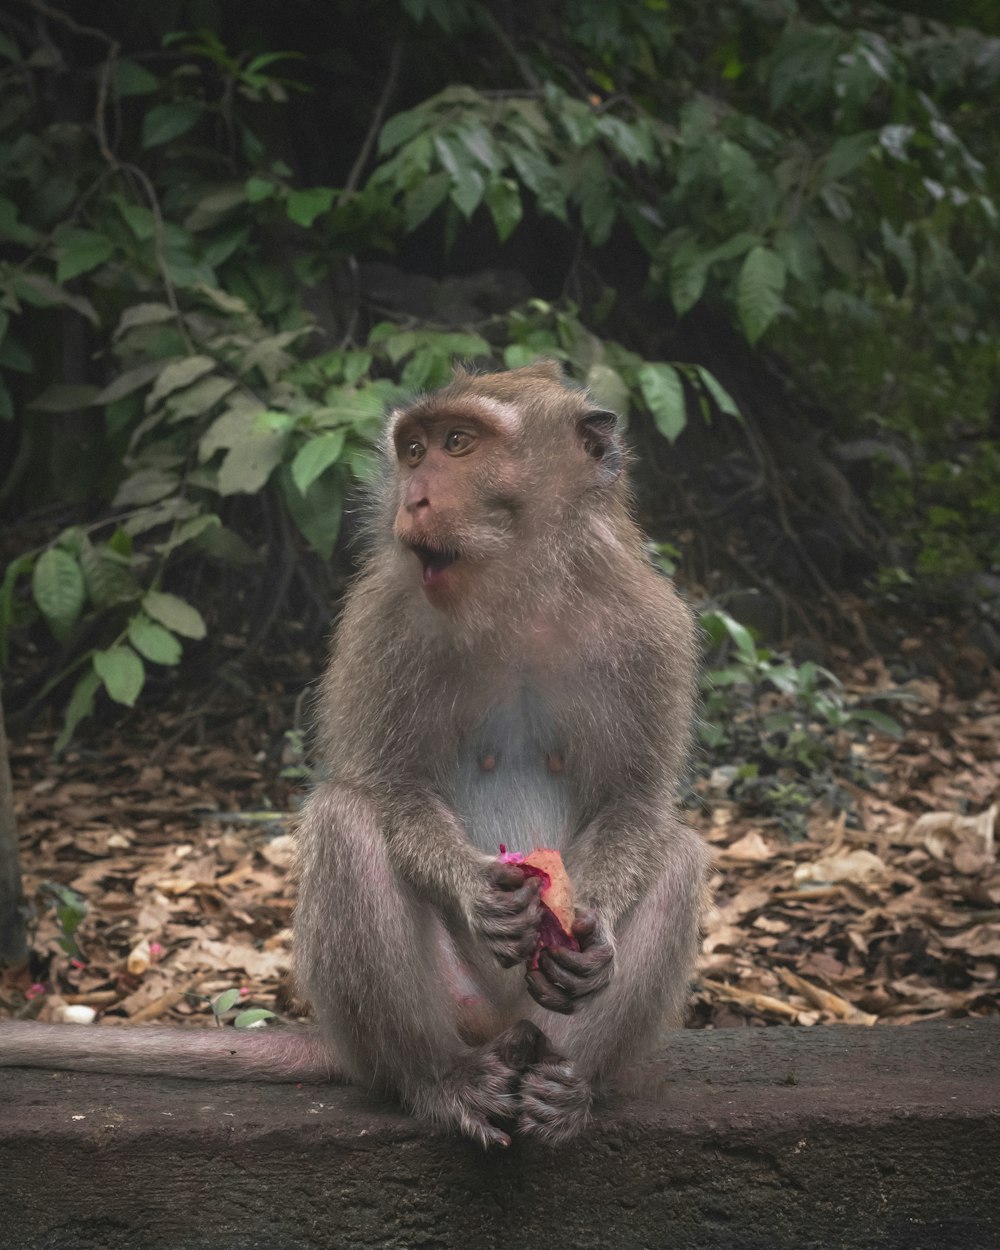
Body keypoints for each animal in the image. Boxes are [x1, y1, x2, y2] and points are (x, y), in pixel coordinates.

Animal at [0, 362, 705, 1145]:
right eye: (414, 451)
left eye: (459, 444)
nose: (415, 497)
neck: (521, 593)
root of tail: (497, 1024)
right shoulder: (384, 618)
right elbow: (387, 786)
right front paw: (472, 889)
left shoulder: (649, 626)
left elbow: (634, 802)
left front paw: (598, 930)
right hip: (446, 1008)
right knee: (346, 821)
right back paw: (439, 1079)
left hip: (533, 1005)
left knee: (677, 856)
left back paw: (566, 1087)